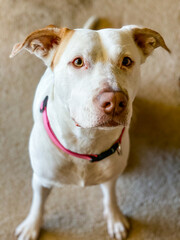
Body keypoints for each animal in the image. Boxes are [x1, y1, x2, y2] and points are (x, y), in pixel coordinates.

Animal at [10, 17, 170, 240]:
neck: (87, 140)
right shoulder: (41, 180)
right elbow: (38, 203)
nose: (115, 101)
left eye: (127, 61)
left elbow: (110, 197)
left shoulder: (110, 178)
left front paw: (114, 218)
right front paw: (32, 225)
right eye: (78, 62)